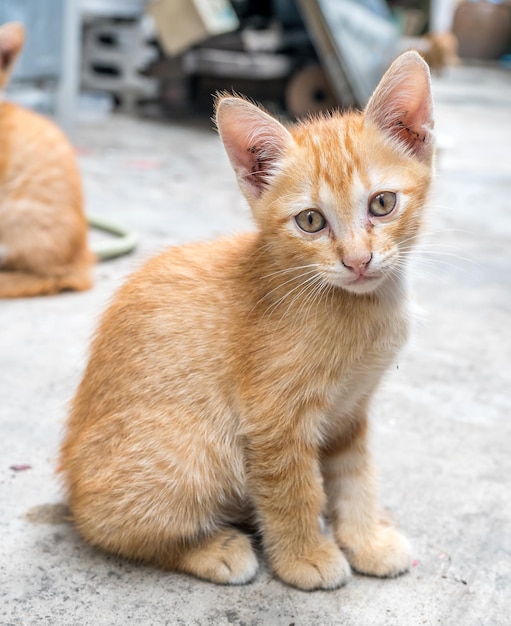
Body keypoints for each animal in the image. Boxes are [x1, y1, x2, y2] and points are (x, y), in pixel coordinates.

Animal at [61, 51, 436, 588]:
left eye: (382, 204)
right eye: (310, 221)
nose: (358, 261)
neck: (361, 306)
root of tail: (69, 481)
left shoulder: (351, 410)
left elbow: (355, 476)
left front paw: (366, 539)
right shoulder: (273, 418)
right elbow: (293, 490)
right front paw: (306, 557)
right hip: (192, 452)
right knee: (105, 527)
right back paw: (213, 547)